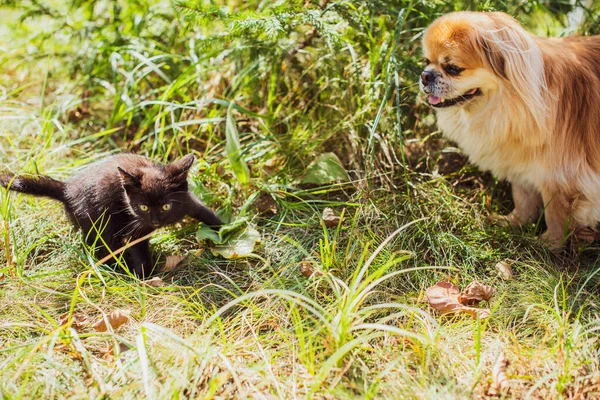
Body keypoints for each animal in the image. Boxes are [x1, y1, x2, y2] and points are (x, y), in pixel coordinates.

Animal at [1, 154, 221, 278]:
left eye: (166, 206)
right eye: (143, 207)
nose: (155, 221)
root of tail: (67, 190)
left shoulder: (186, 201)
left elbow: (204, 211)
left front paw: (223, 230)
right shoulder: (135, 225)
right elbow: (138, 248)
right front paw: (143, 277)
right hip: (99, 222)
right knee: (100, 246)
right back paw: (118, 267)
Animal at [420, 10, 600, 248]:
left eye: (453, 69)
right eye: (426, 61)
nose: (425, 75)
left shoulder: (560, 176)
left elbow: (555, 214)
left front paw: (547, 244)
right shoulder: (519, 164)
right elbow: (522, 198)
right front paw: (513, 223)